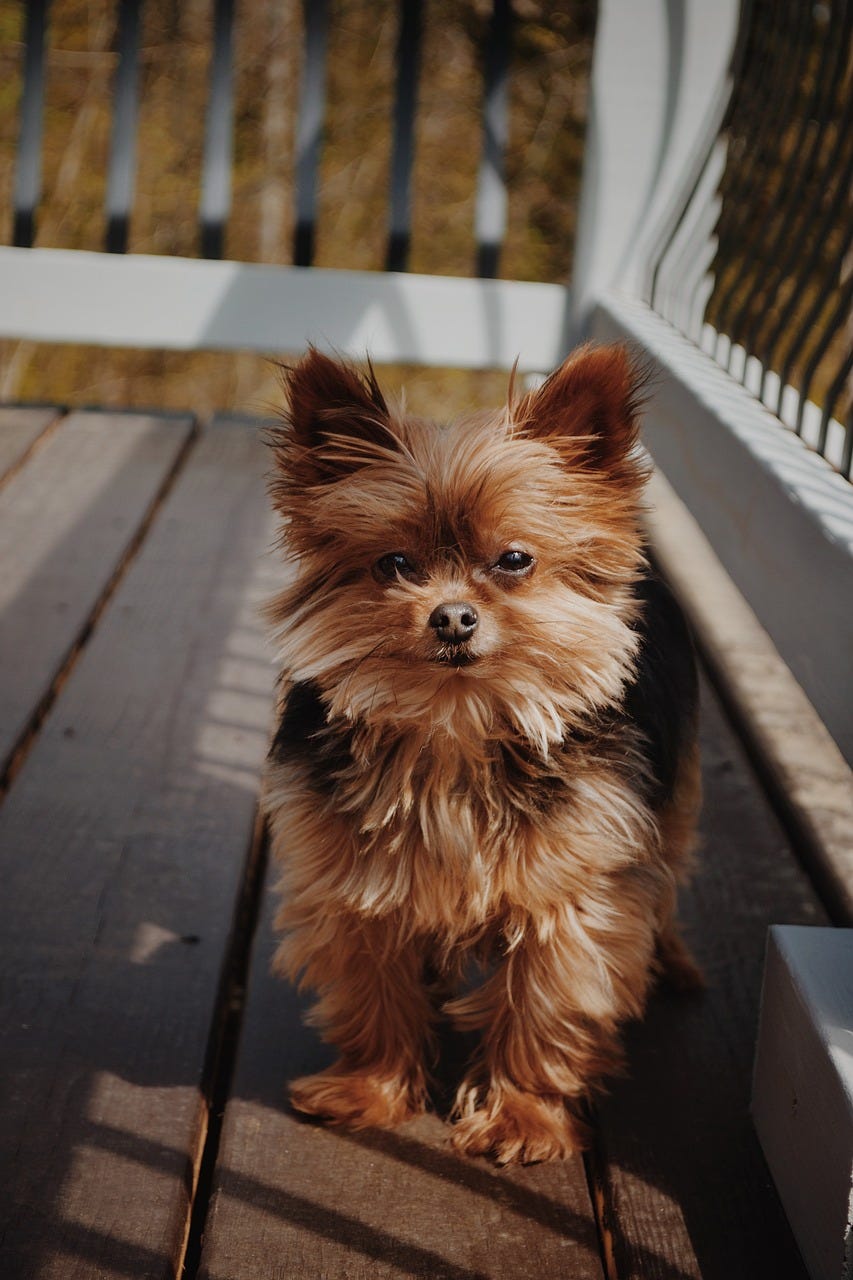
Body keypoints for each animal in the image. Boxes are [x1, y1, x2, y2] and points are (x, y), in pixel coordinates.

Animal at [262, 345, 701, 1167]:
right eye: (394, 564)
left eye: (515, 559)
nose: (452, 617)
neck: (455, 725)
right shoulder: (355, 884)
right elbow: (376, 992)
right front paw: (369, 1088)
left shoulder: (572, 898)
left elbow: (542, 1008)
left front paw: (521, 1117)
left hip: (675, 792)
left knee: (667, 875)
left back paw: (674, 958)